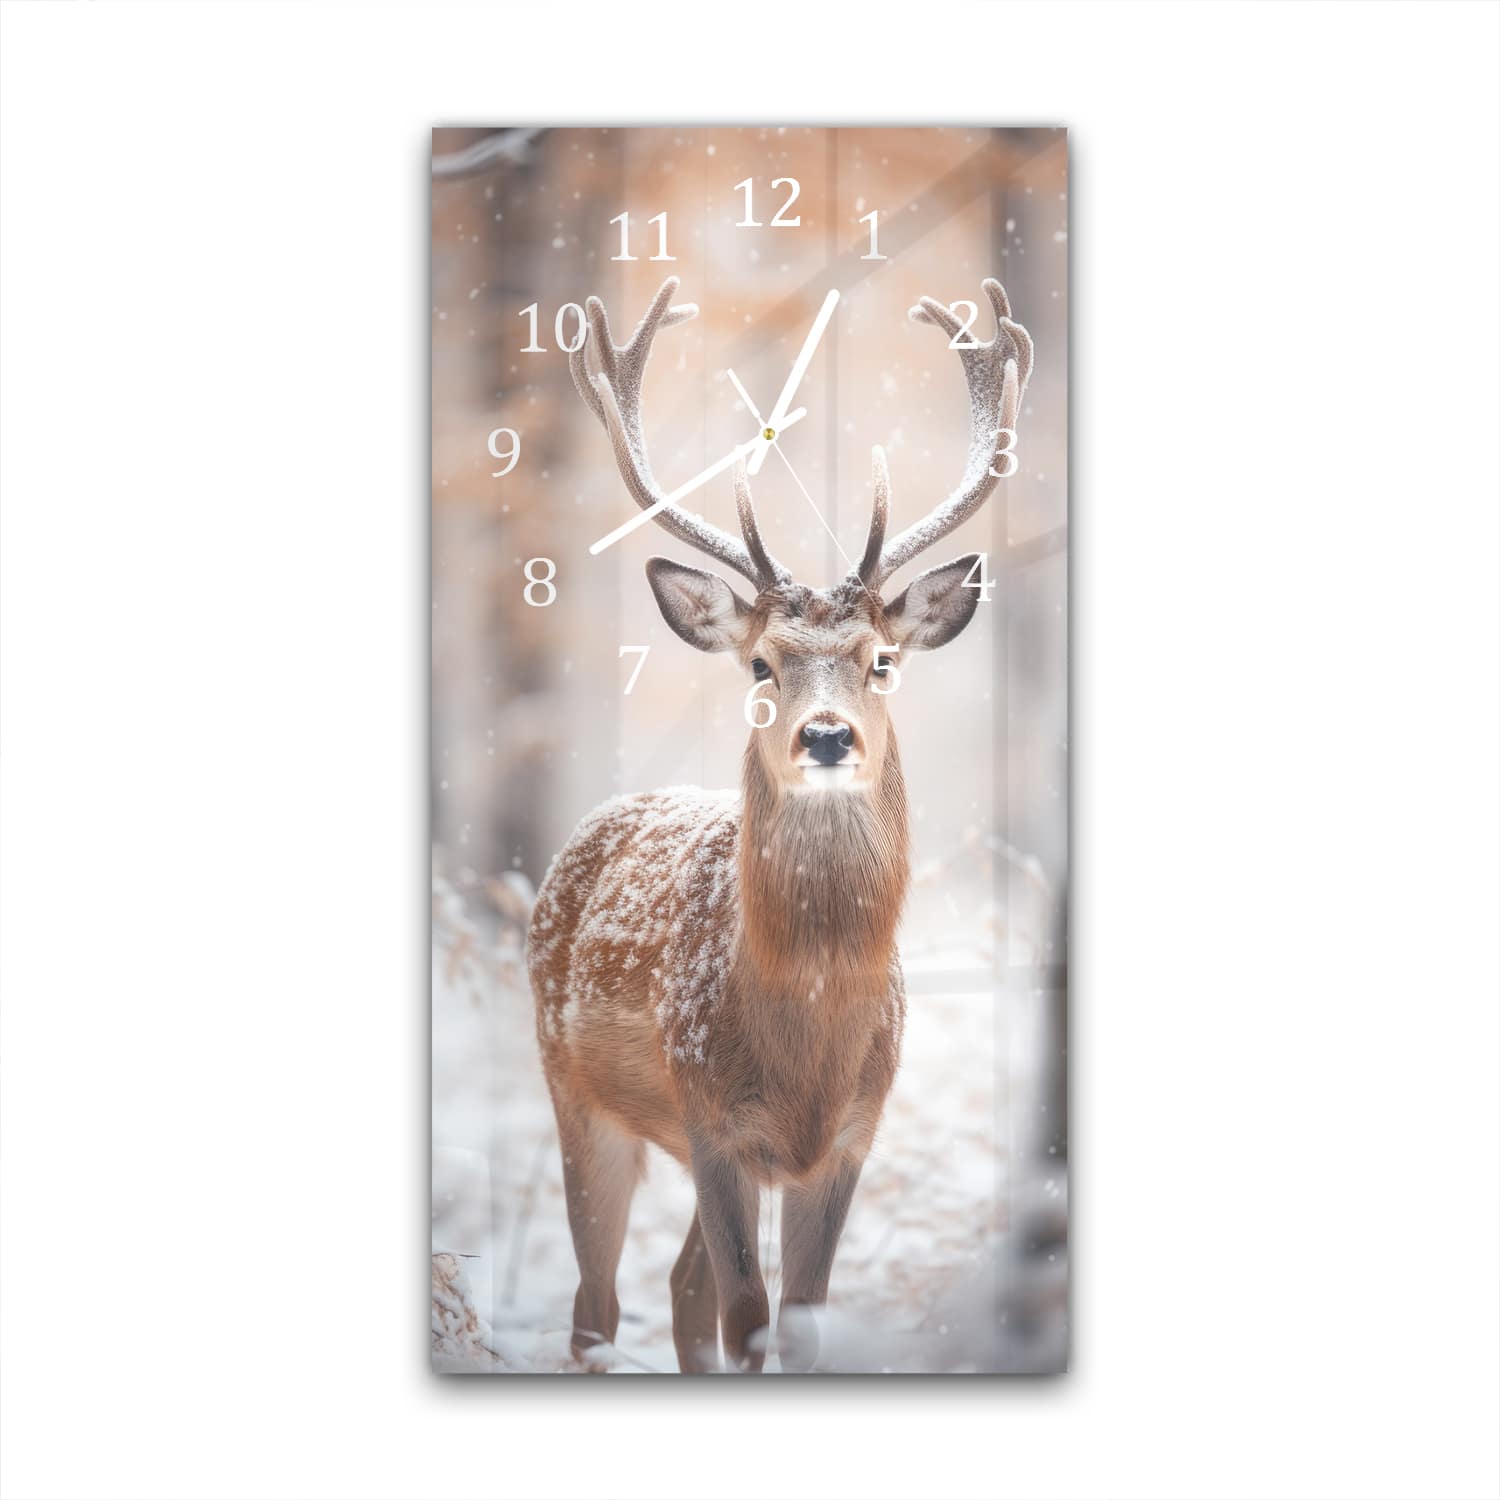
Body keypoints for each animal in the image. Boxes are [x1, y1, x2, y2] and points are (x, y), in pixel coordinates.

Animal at [527, 275, 1033, 1373]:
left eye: (882, 660)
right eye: (762, 662)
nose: (828, 735)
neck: (805, 1034)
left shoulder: (849, 1136)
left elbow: (793, 1320)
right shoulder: (711, 1118)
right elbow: (746, 1315)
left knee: (679, 1287)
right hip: (575, 1091)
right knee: (599, 1305)